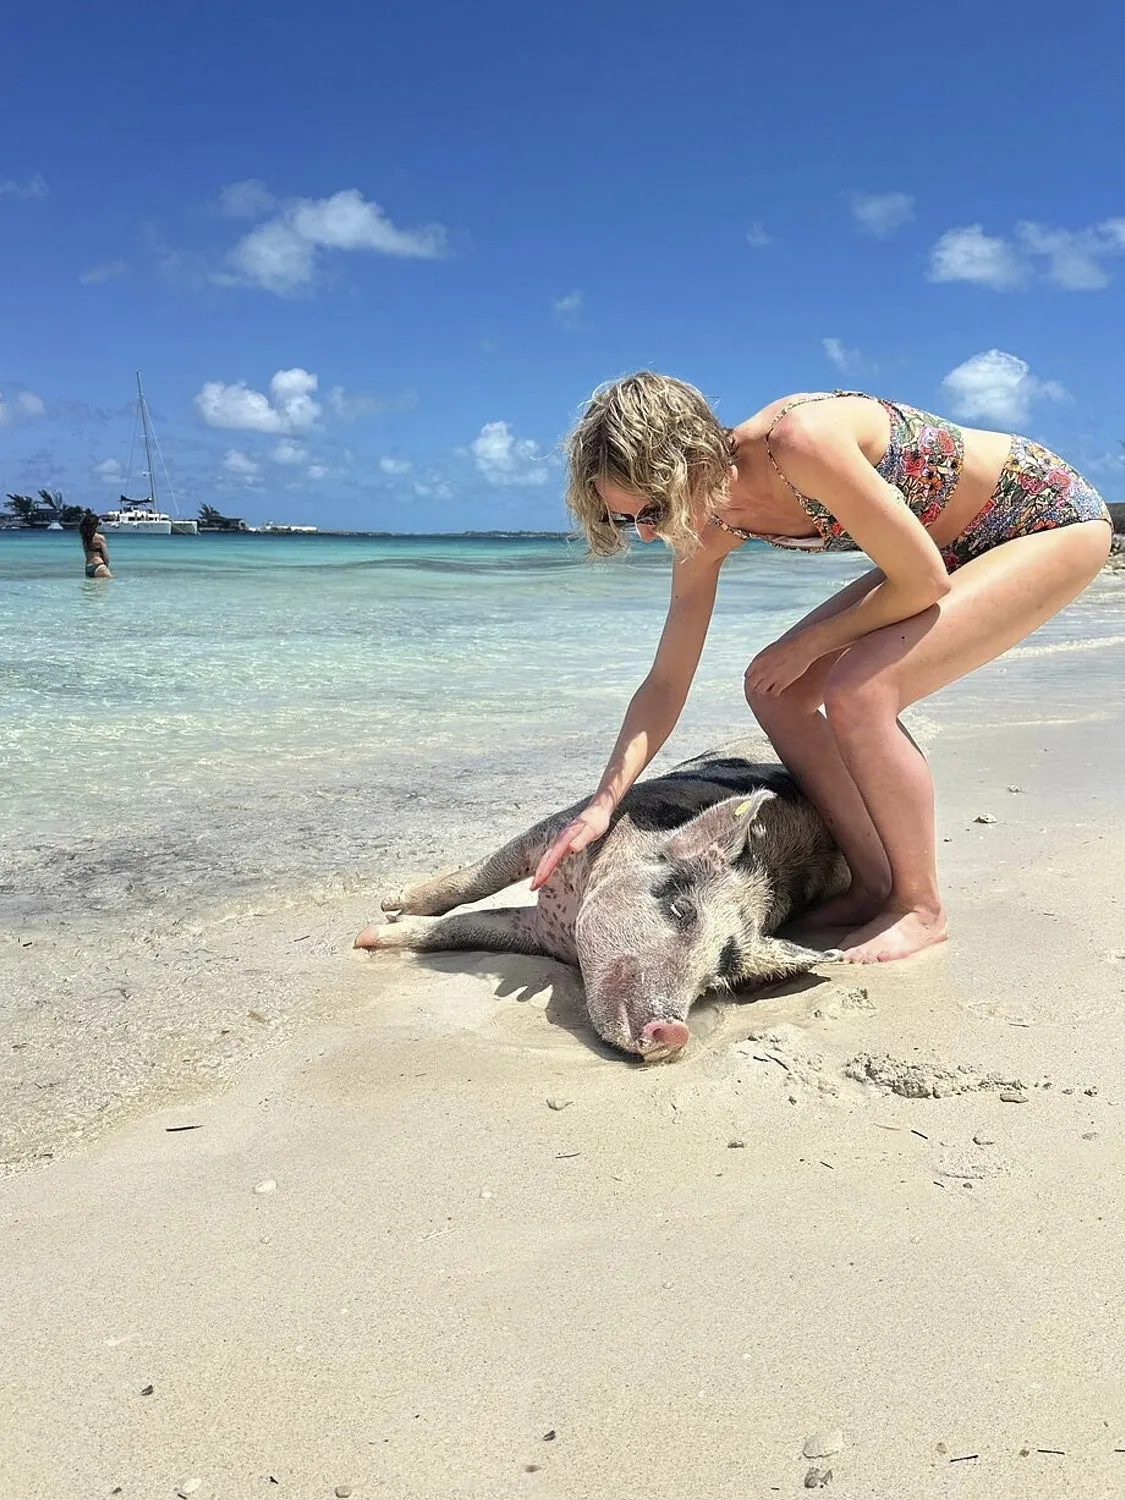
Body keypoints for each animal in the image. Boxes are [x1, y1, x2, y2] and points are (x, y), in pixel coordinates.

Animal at [355, 739, 848, 1063]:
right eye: (680, 909)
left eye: (717, 978)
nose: (676, 1032)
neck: (572, 907)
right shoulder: (555, 832)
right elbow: (474, 882)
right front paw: (380, 916)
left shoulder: (538, 932)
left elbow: (469, 928)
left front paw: (368, 936)